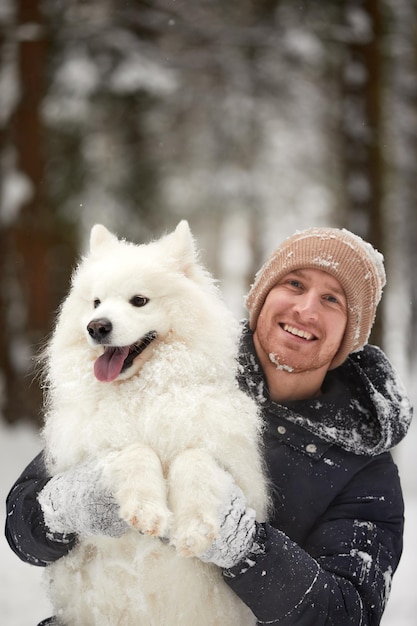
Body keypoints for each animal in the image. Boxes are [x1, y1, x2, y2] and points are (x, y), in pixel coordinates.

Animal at [40, 222, 268, 620]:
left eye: (139, 301)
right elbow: (134, 450)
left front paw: (194, 529)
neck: (143, 393)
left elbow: (194, 458)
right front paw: (146, 510)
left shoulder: (243, 476)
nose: (96, 326)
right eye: (96, 303)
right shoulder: (87, 454)